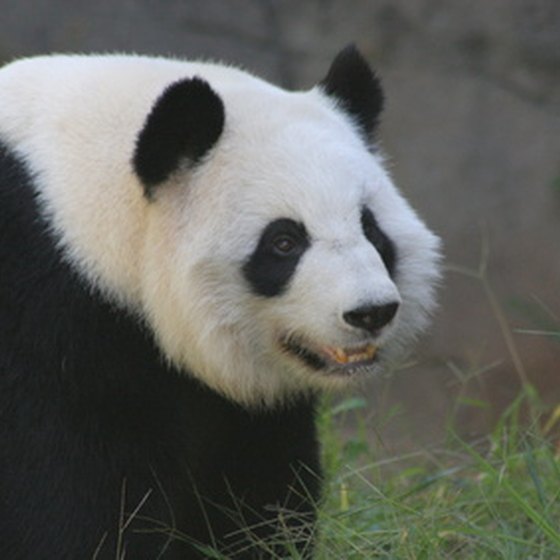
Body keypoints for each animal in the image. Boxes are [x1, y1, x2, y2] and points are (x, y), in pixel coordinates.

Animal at [0, 46, 440, 556]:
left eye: (371, 228)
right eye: (284, 242)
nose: (370, 311)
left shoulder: (234, 407)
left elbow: (256, 488)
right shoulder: (46, 320)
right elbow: (74, 501)